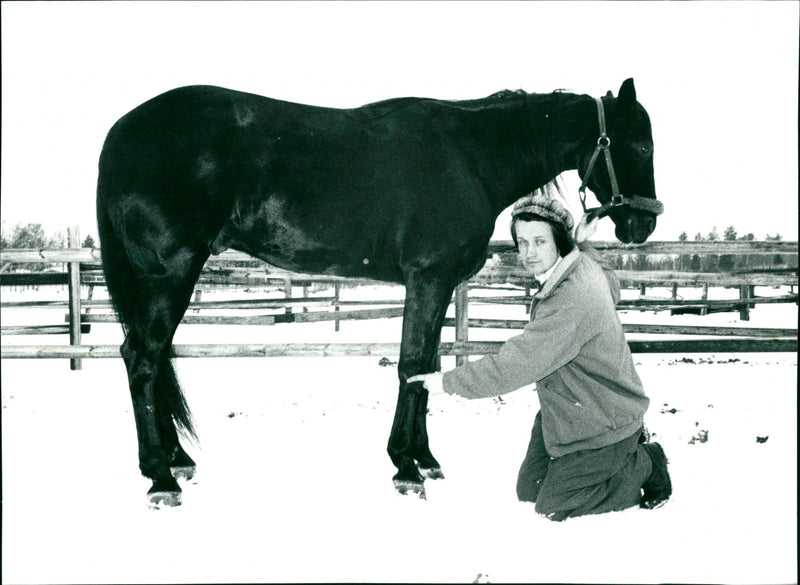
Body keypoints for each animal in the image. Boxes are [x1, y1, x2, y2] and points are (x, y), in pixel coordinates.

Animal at [97, 78, 660, 506]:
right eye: (642, 146)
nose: (643, 224)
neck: (471, 157)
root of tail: (120, 134)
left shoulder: (437, 284)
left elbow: (427, 367)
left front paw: (425, 460)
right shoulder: (427, 278)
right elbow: (410, 365)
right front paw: (405, 469)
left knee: (153, 358)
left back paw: (177, 460)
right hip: (169, 274)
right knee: (143, 359)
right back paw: (161, 477)